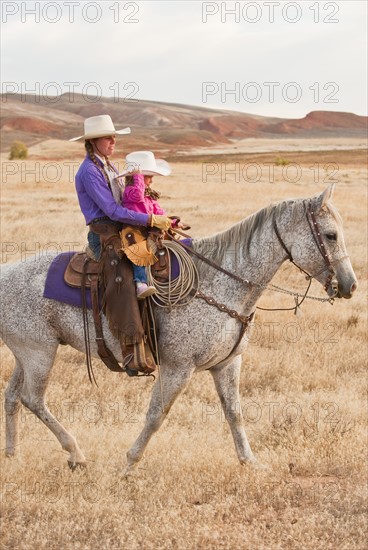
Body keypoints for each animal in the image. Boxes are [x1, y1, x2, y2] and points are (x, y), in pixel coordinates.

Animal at [0, 188, 356, 472]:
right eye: (330, 235)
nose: (349, 285)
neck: (219, 282)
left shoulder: (228, 364)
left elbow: (234, 413)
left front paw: (250, 462)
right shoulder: (178, 368)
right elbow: (157, 414)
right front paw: (129, 464)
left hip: (27, 354)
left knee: (13, 397)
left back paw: (13, 455)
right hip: (39, 354)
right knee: (32, 399)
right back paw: (75, 452)